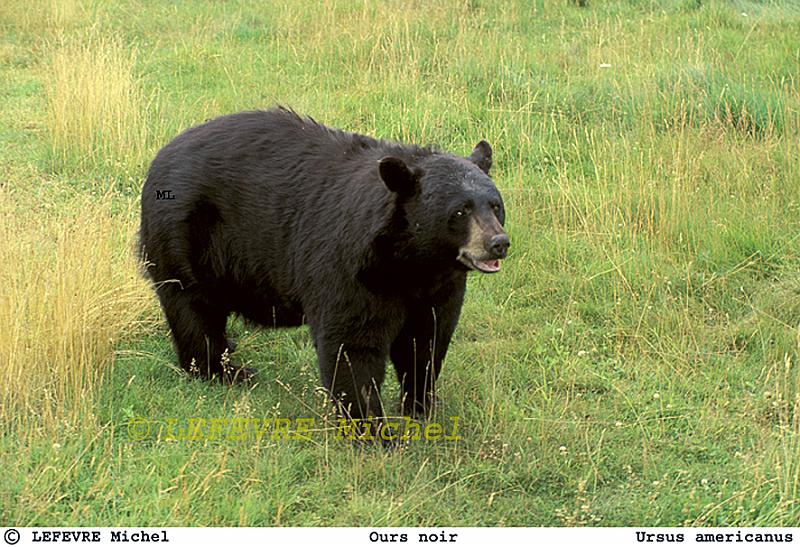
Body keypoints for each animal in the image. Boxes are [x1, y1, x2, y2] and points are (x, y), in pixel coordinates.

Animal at [138, 109, 510, 422]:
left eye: (495, 205)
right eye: (460, 211)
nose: (499, 243)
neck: (413, 262)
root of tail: (159, 157)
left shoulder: (439, 287)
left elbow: (426, 340)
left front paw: (420, 406)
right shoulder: (353, 267)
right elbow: (352, 344)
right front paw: (371, 427)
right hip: (182, 237)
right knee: (193, 310)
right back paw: (223, 372)